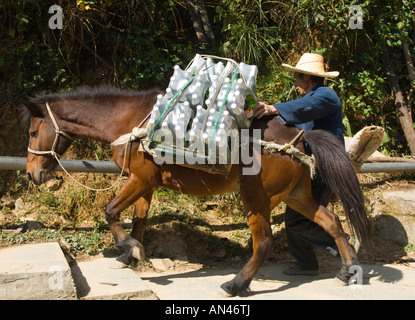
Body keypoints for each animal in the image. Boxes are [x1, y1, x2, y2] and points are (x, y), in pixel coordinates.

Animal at [20, 85, 370, 298]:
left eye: (33, 132)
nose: (31, 174)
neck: (130, 122)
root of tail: (298, 139)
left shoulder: (139, 180)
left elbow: (110, 211)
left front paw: (127, 247)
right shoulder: (146, 183)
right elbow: (139, 220)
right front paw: (129, 255)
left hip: (256, 198)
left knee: (264, 242)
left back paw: (236, 283)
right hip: (296, 196)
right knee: (332, 223)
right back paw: (347, 270)